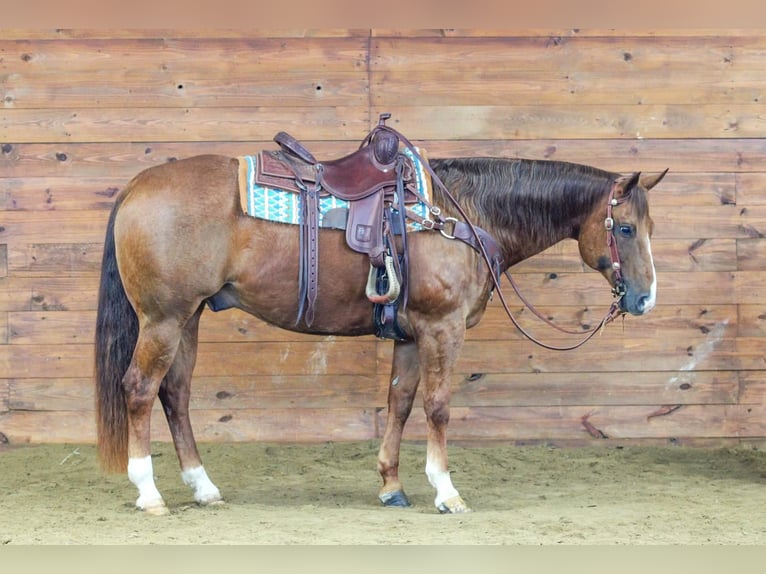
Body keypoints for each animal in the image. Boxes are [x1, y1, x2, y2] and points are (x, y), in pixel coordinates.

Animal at [94, 132, 666, 515]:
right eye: (625, 228)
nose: (644, 298)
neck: (457, 215)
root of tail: (136, 187)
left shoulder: (412, 335)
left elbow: (401, 403)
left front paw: (392, 485)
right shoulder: (442, 328)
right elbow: (438, 407)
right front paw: (447, 491)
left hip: (187, 318)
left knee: (175, 395)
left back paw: (203, 487)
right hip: (164, 318)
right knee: (140, 389)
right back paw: (149, 492)